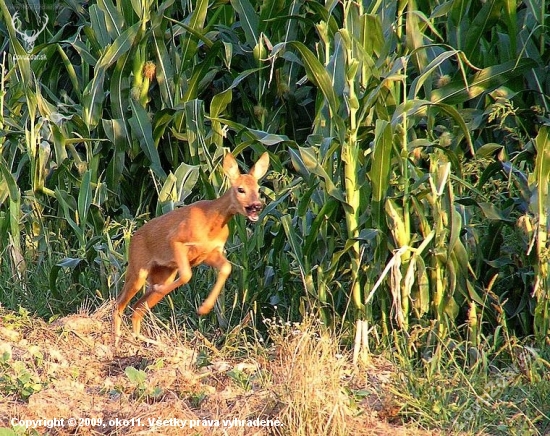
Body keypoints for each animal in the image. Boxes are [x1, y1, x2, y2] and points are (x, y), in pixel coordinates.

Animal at [113, 152, 272, 346]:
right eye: (241, 189)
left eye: (258, 189)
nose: (257, 205)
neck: (211, 223)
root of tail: (133, 237)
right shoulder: (176, 240)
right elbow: (187, 274)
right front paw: (199, 306)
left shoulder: (210, 252)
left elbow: (226, 268)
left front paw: (204, 308)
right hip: (138, 268)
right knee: (119, 304)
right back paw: (117, 340)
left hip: (163, 272)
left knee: (137, 308)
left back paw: (145, 340)